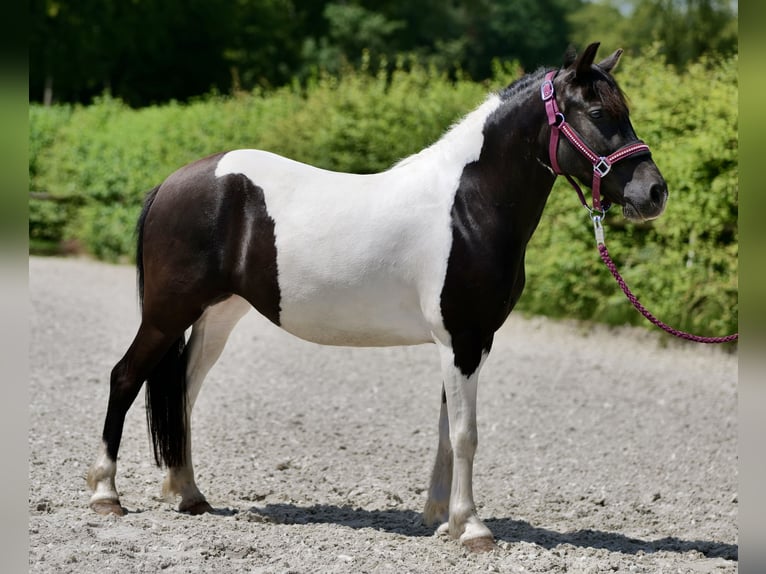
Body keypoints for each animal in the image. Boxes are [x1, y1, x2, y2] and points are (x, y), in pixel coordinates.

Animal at [87, 42, 668, 552]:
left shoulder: (467, 342)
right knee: (125, 377)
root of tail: (170, 184)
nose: (654, 192)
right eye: (597, 111)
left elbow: (446, 431)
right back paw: (106, 494)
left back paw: (188, 494)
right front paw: (473, 529)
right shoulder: (462, 339)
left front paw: (444, 520)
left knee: (184, 390)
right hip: (166, 314)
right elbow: (466, 434)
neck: (467, 205)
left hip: (217, 314)